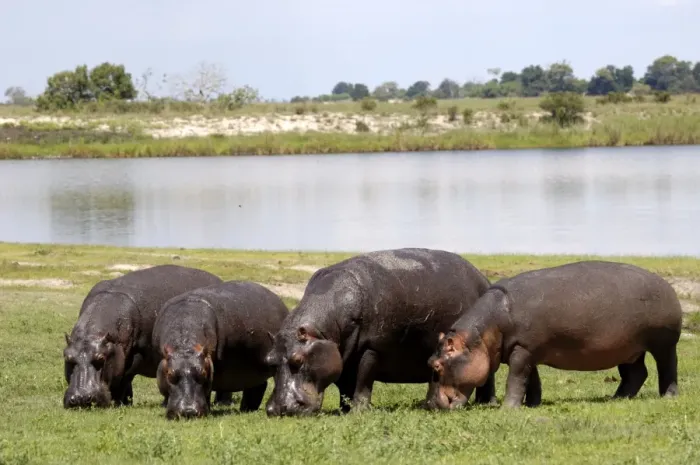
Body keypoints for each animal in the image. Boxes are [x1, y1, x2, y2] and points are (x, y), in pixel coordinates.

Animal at [62, 265, 223, 409]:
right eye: (67, 358)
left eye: (101, 358)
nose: (82, 398)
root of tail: (218, 279)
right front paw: (127, 402)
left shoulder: (134, 356)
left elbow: (125, 378)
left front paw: (120, 403)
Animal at [152, 280, 289, 419]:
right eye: (169, 374)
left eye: (203, 373)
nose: (188, 411)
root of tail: (278, 300)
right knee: (257, 386)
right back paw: (246, 409)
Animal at [263, 248, 494, 417]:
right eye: (269, 361)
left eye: (298, 360)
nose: (278, 409)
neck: (322, 331)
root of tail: (482, 277)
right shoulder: (342, 355)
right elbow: (345, 385)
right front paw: (344, 410)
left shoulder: (371, 349)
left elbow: (363, 380)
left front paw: (358, 411)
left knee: (486, 374)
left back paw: (484, 404)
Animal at [426, 260, 683, 410]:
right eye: (429, 360)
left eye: (438, 365)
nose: (431, 404)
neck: (483, 333)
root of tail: (666, 285)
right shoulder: (526, 349)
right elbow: (531, 379)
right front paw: (531, 405)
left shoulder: (523, 350)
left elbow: (515, 378)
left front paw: (509, 409)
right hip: (628, 348)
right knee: (636, 373)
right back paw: (617, 398)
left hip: (664, 343)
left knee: (667, 368)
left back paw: (668, 397)